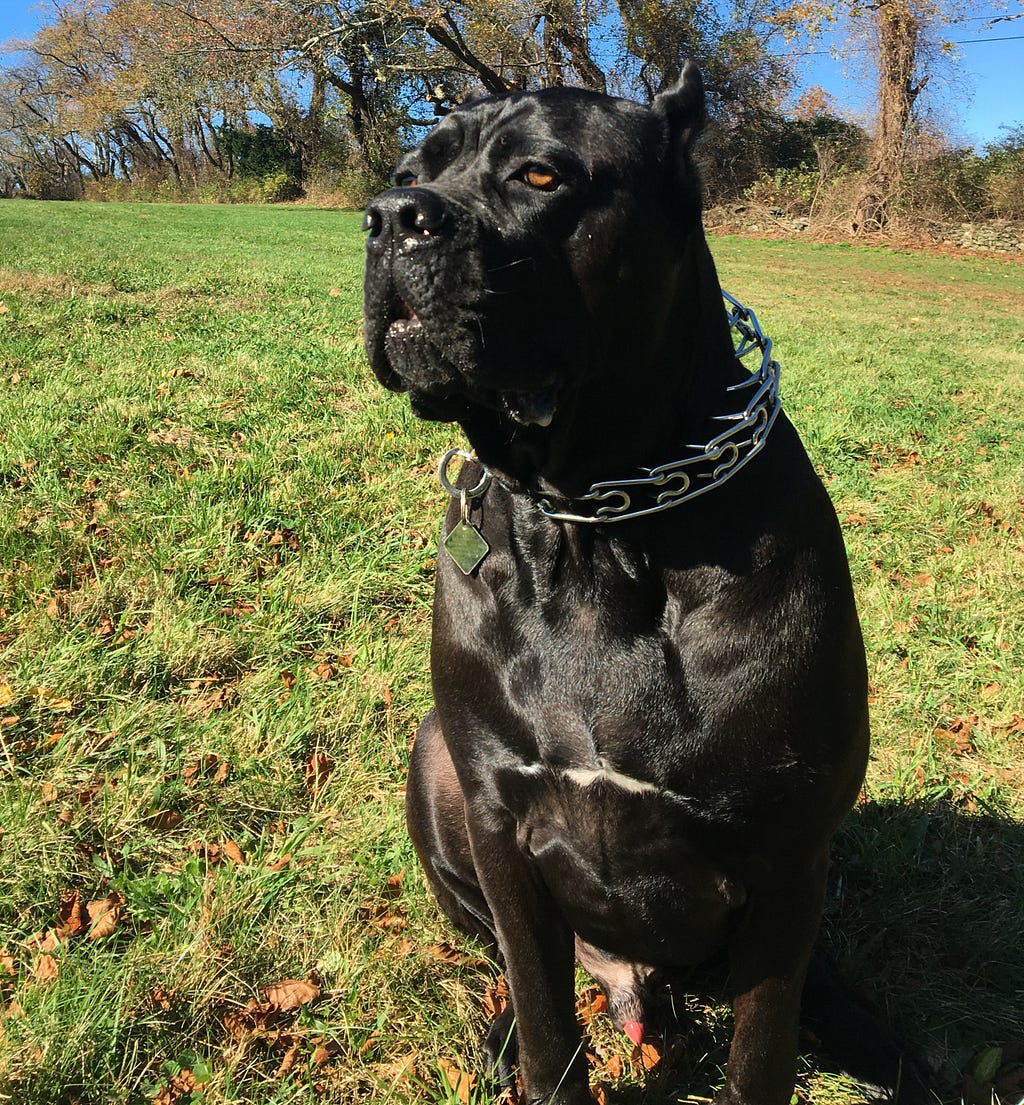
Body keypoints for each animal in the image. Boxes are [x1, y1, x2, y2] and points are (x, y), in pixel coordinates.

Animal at [364, 64, 910, 1105]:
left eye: (541, 174)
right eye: (411, 173)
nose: (390, 217)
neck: (596, 525)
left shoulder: (785, 854)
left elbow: (761, 1048)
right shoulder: (500, 818)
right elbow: (544, 1013)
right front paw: (531, 1054)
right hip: (432, 757)